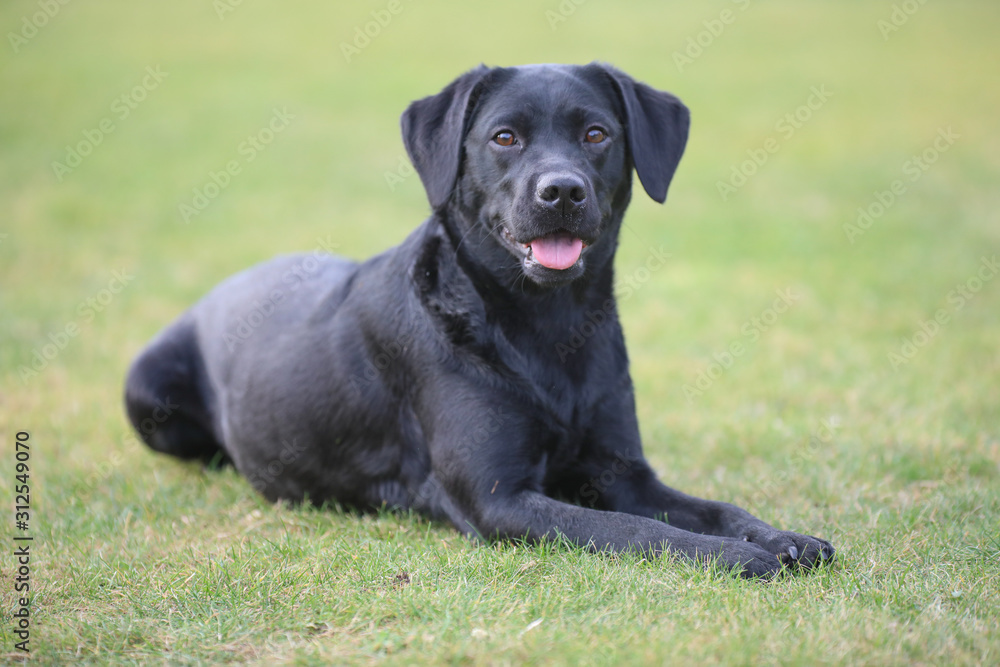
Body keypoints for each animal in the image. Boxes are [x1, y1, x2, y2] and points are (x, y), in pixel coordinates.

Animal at [127, 65, 836, 580]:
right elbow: (638, 530)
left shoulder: (624, 474)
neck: (549, 331)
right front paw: (739, 556)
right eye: (504, 137)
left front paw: (781, 536)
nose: (562, 191)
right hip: (147, 395)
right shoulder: (498, 497)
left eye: (596, 134)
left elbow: (712, 508)